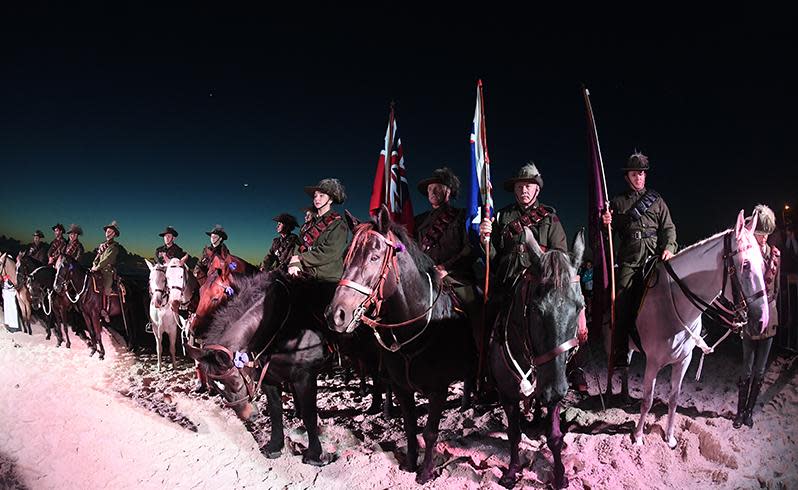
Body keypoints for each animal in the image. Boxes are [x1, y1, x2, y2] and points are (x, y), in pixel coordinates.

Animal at [188, 272, 334, 468]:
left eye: (235, 382)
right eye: (217, 388)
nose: (247, 416)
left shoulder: (305, 377)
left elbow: (310, 415)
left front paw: (315, 455)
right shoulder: (268, 379)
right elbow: (275, 411)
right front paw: (275, 446)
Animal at [328, 206, 478, 482]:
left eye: (374, 257)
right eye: (345, 259)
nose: (336, 315)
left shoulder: (438, 390)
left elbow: (430, 432)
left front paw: (426, 471)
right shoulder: (401, 387)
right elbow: (409, 426)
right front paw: (410, 463)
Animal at [490, 228, 584, 488]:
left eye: (580, 307)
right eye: (535, 308)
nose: (556, 390)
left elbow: (554, 436)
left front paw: (560, 476)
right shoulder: (507, 394)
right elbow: (513, 433)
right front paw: (512, 471)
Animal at [628, 211, 772, 448]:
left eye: (763, 264)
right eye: (745, 265)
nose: (762, 321)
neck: (671, 301)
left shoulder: (683, 361)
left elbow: (674, 399)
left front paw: (669, 437)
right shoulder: (653, 363)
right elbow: (647, 400)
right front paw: (638, 436)